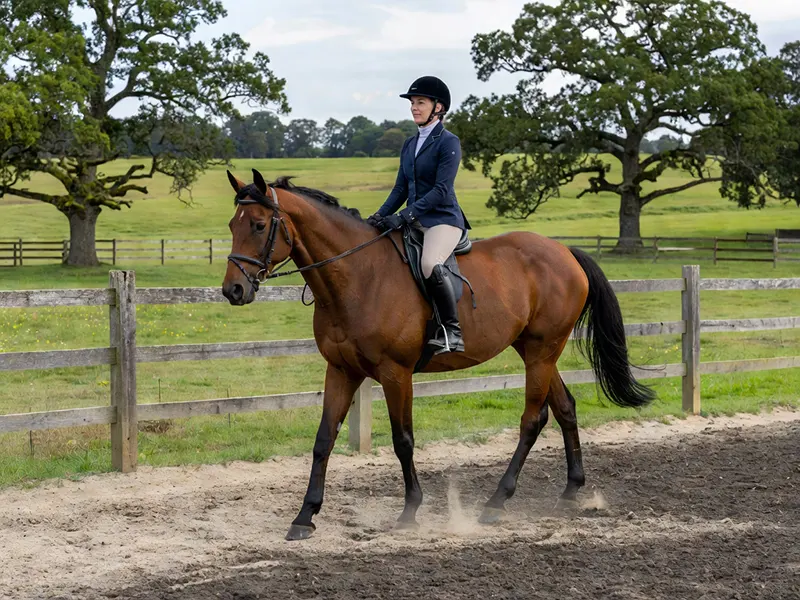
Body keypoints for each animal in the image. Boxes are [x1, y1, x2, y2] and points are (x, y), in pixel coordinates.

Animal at [221, 168, 655, 541]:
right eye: (231, 225)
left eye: (258, 225)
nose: (233, 291)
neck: (358, 276)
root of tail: (563, 251)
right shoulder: (341, 371)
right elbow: (323, 440)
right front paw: (304, 517)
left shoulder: (396, 373)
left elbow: (403, 440)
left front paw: (410, 512)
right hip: (535, 351)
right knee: (565, 408)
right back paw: (569, 492)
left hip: (541, 351)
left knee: (533, 420)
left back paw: (496, 502)